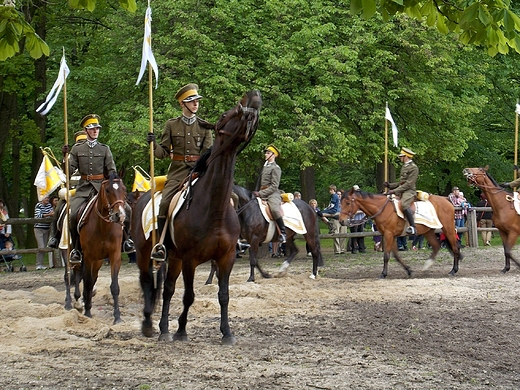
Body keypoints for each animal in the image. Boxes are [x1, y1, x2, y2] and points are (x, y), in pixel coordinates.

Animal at [68, 171, 128, 322]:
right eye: (107, 190)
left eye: (124, 189)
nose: (119, 215)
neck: (103, 226)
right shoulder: (88, 257)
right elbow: (87, 283)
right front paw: (88, 312)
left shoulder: (114, 256)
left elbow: (114, 286)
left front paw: (117, 317)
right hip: (78, 257)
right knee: (78, 275)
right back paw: (78, 303)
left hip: (98, 261)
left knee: (92, 277)